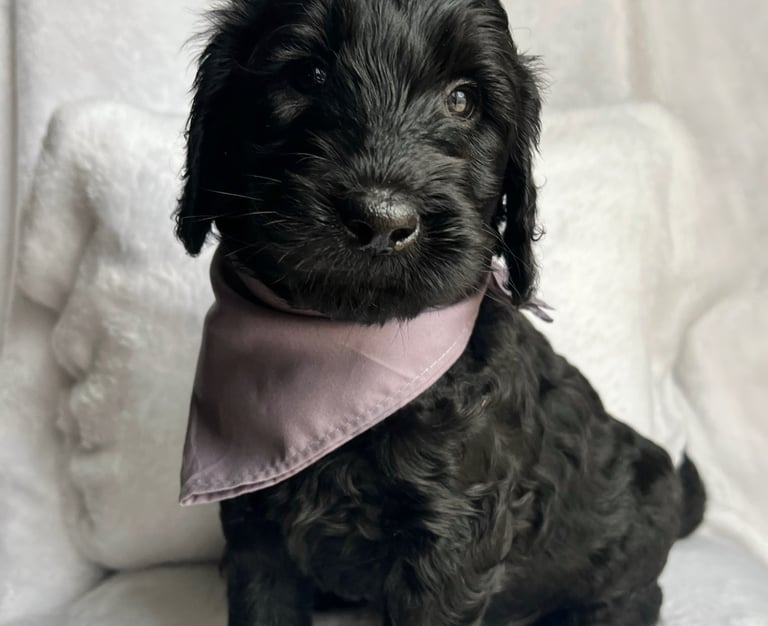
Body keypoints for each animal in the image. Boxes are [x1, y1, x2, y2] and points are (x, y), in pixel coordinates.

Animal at [175, 0, 706, 624]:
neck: (350, 349)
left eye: (463, 100)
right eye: (308, 75)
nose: (382, 220)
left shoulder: (451, 536)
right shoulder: (255, 526)